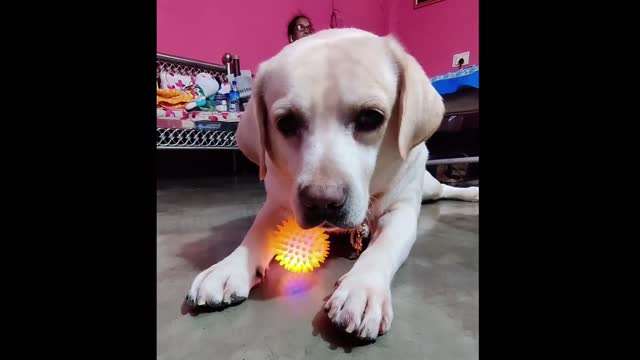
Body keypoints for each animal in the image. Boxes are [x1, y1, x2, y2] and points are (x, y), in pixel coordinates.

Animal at [188, 28, 478, 340]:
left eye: (370, 118)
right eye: (286, 123)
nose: (322, 201)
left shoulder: (400, 213)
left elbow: (382, 248)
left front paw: (363, 287)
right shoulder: (277, 204)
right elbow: (255, 233)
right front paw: (228, 267)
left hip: (426, 185)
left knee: (446, 190)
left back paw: (472, 192)